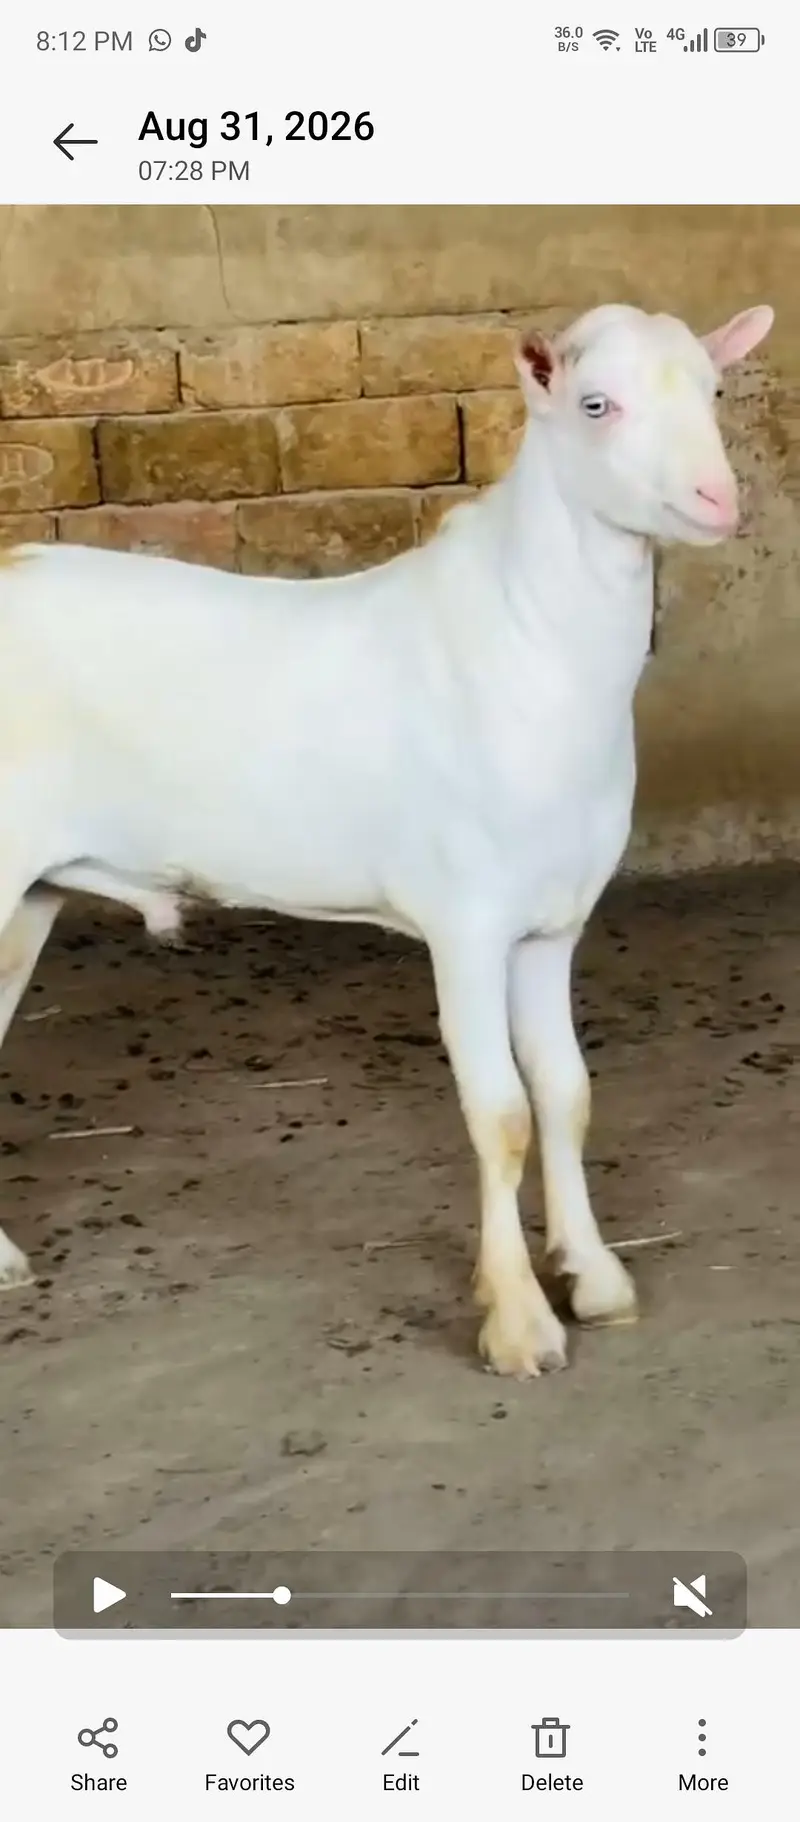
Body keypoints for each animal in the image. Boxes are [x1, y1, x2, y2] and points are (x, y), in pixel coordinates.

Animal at [0, 300, 774, 1376]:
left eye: (712, 388)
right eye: (594, 403)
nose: (715, 499)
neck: (528, 643)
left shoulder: (550, 923)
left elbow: (565, 1093)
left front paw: (592, 1276)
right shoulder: (466, 920)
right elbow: (500, 1115)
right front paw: (519, 1323)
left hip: (28, 893)